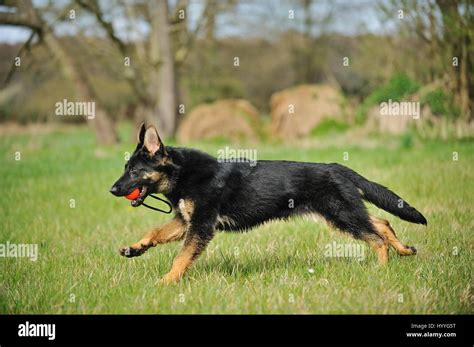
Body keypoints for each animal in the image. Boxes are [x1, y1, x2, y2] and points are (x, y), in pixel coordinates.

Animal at [110, 123, 426, 284]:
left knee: (377, 237)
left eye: (134, 170)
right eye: (125, 167)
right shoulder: (185, 221)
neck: (183, 173)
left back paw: (382, 270)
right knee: (383, 223)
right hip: (346, 212)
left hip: (342, 214)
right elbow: (154, 233)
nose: (112, 189)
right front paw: (135, 248)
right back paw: (404, 250)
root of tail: (337, 167)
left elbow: (181, 257)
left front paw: (167, 280)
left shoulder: (200, 225)